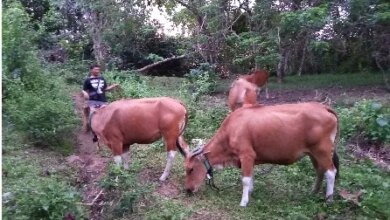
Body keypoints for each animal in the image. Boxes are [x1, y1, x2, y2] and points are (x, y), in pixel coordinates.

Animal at [183, 102, 338, 207]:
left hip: (322, 151)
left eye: (191, 169)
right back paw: (313, 193)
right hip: (313, 153)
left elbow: (245, 179)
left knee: (331, 172)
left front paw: (244, 201)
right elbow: (251, 177)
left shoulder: (247, 155)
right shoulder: (250, 159)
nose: (188, 190)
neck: (232, 130)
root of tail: (324, 107)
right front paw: (250, 192)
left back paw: (329, 199)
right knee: (320, 171)